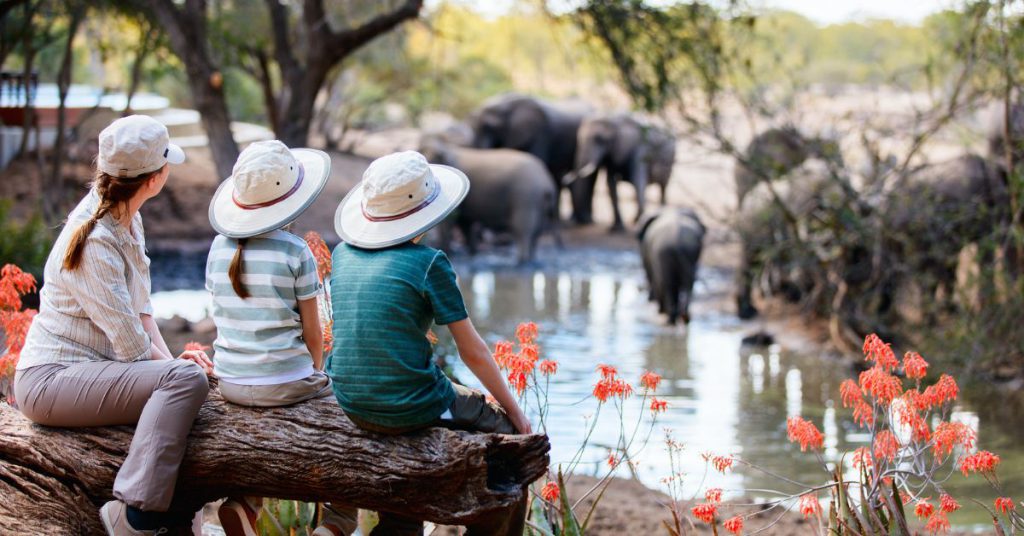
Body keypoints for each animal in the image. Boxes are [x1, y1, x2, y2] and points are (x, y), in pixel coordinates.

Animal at [417, 136, 557, 266]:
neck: (447, 147)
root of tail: (547, 182)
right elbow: (465, 222)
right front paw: (472, 254)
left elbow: (452, 221)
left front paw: (451, 252)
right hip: (537, 201)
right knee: (537, 231)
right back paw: (530, 260)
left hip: (525, 197)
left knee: (522, 229)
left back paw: (521, 262)